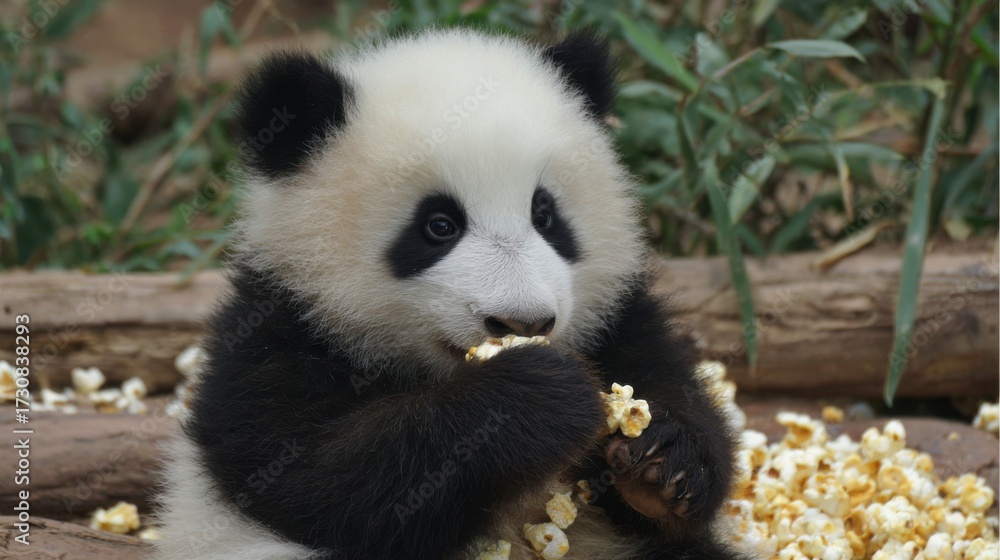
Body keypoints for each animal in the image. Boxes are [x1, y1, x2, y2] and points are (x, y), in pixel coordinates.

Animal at [153, 28, 754, 560]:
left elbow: (671, 388)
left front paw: (664, 463)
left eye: (544, 215)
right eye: (439, 226)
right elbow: (318, 480)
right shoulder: (276, 336)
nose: (523, 323)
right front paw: (535, 395)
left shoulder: (618, 316)